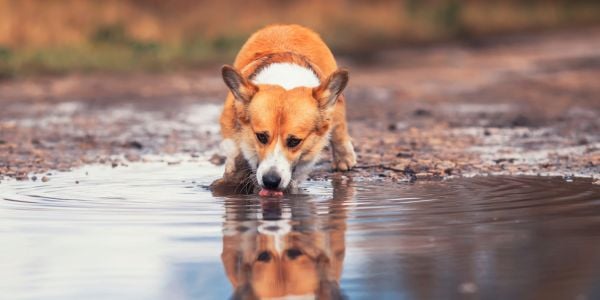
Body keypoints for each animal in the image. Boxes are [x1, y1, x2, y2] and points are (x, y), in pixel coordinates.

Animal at [216, 24, 356, 197]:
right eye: (261, 137)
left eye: (294, 141)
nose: (270, 181)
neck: (286, 81)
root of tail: (287, 26)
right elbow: (235, 154)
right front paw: (232, 179)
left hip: (336, 106)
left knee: (338, 129)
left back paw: (345, 159)